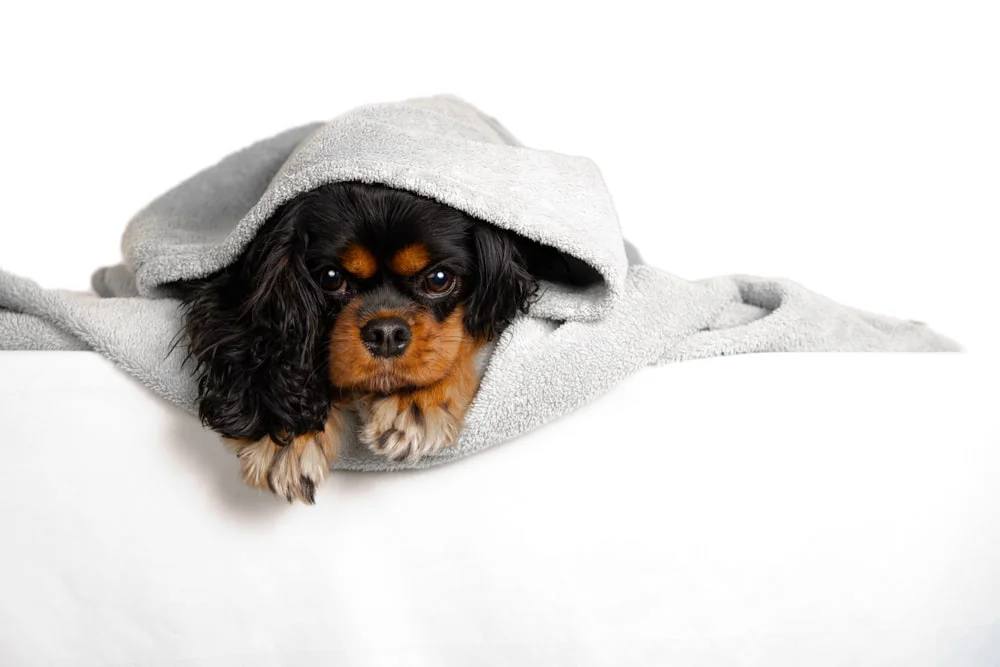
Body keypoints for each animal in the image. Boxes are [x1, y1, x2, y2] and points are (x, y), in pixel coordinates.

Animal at [176, 180, 596, 504]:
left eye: (439, 279)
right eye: (331, 278)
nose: (386, 333)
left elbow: (464, 336)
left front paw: (417, 401)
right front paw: (286, 436)